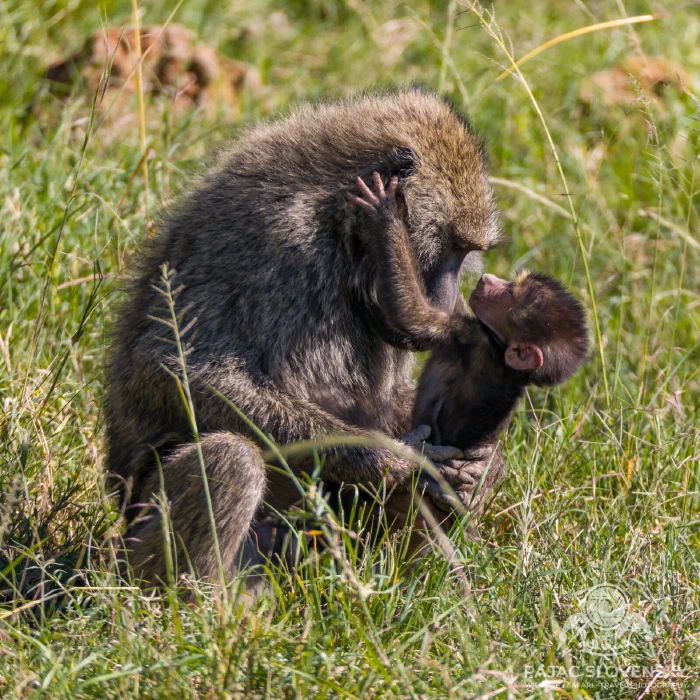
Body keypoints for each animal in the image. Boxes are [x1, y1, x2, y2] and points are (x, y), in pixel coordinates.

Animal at [105, 89, 504, 588]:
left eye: (465, 253)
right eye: (452, 248)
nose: (451, 304)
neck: (331, 210)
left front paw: (479, 462)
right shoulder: (282, 241)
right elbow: (174, 368)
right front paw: (400, 459)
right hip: (144, 533)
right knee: (231, 459)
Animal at [349, 172, 588, 515]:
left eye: (510, 294)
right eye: (512, 284)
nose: (488, 279)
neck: (504, 359)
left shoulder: (466, 338)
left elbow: (411, 315)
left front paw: (387, 214)